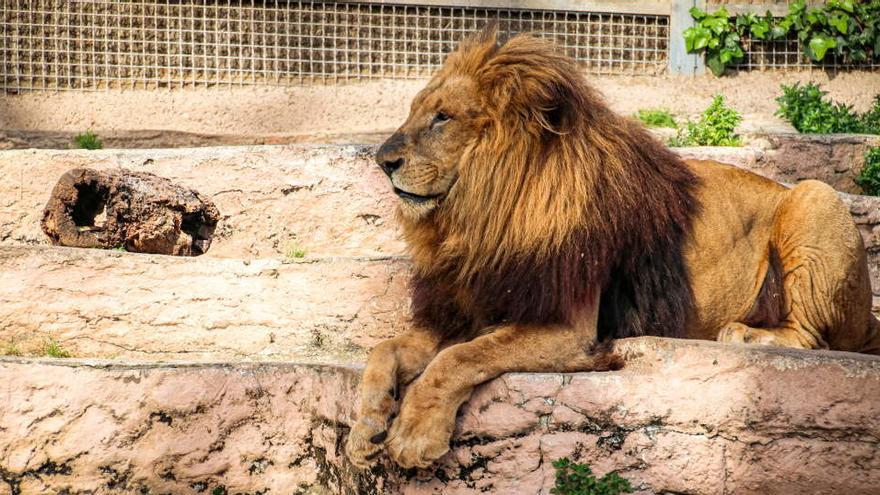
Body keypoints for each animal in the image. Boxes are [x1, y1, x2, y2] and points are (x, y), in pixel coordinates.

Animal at [344, 29, 880, 470]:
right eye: (415, 112)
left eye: (442, 118)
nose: (382, 161)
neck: (480, 219)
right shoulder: (462, 307)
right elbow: (384, 350)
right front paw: (366, 428)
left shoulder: (568, 327)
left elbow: (457, 359)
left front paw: (414, 434)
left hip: (813, 197)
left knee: (812, 338)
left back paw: (746, 334)